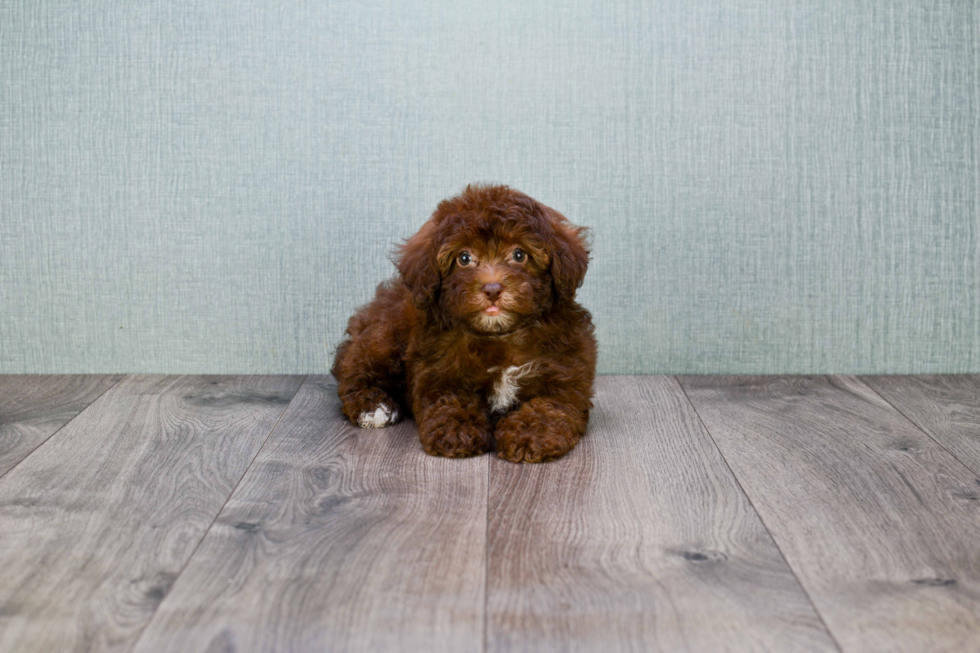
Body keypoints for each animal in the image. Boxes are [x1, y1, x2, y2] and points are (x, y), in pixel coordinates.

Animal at [332, 183, 596, 464]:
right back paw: (373, 407)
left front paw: (529, 434)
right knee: (354, 371)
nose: (492, 289)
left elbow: (550, 406)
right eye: (464, 258)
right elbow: (449, 401)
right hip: (385, 336)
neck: (499, 335)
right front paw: (456, 430)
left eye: (519, 254)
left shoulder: (565, 373)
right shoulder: (439, 371)